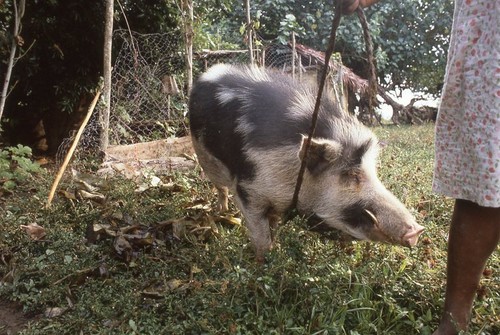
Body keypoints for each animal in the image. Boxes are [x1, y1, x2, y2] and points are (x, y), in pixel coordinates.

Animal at [189, 64, 424, 262]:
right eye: (351, 174)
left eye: (373, 172)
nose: (417, 230)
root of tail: (211, 71)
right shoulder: (248, 190)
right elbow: (261, 237)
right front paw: (263, 264)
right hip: (204, 155)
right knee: (220, 186)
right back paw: (221, 212)